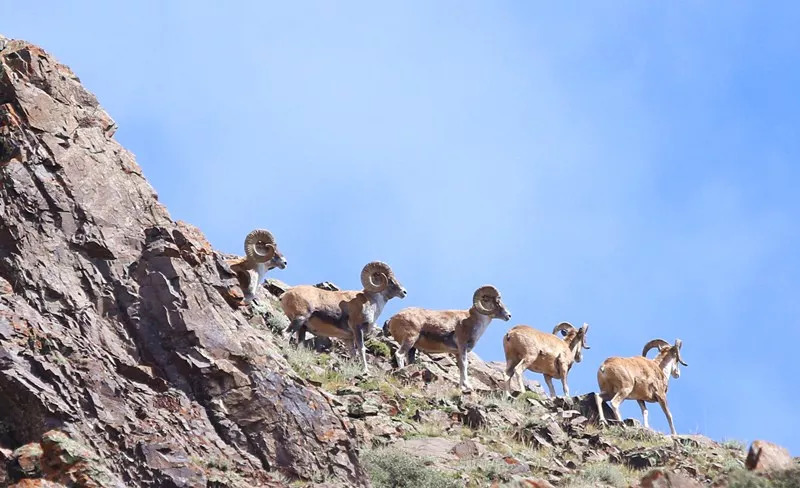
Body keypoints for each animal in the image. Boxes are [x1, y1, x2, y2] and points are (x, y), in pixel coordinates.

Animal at [382, 286, 510, 392]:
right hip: (410, 340)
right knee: (399, 354)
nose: (508, 315)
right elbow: (464, 365)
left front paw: (462, 387)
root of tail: (393, 318)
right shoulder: (462, 346)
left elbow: (461, 367)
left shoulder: (457, 352)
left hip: (413, 348)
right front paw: (468, 386)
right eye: (496, 301)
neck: (473, 321)